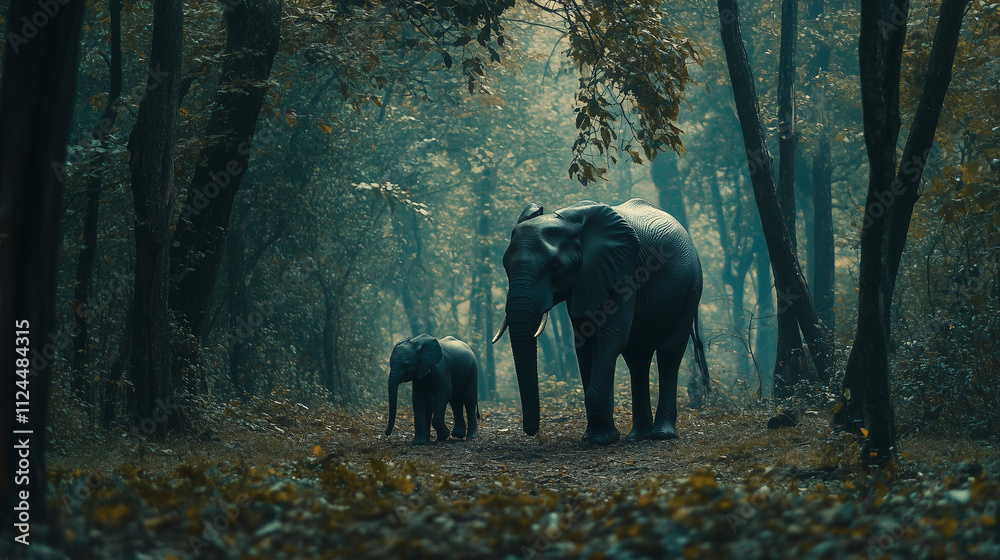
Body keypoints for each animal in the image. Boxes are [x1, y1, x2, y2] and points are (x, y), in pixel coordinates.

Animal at [493, 199, 709, 445]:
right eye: (505, 266)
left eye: (555, 267)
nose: (532, 432)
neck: (570, 220)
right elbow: (584, 342)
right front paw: (591, 437)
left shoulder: (624, 272)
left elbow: (610, 338)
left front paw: (602, 440)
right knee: (637, 358)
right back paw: (638, 436)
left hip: (692, 287)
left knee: (668, 352)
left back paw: (662, 435)